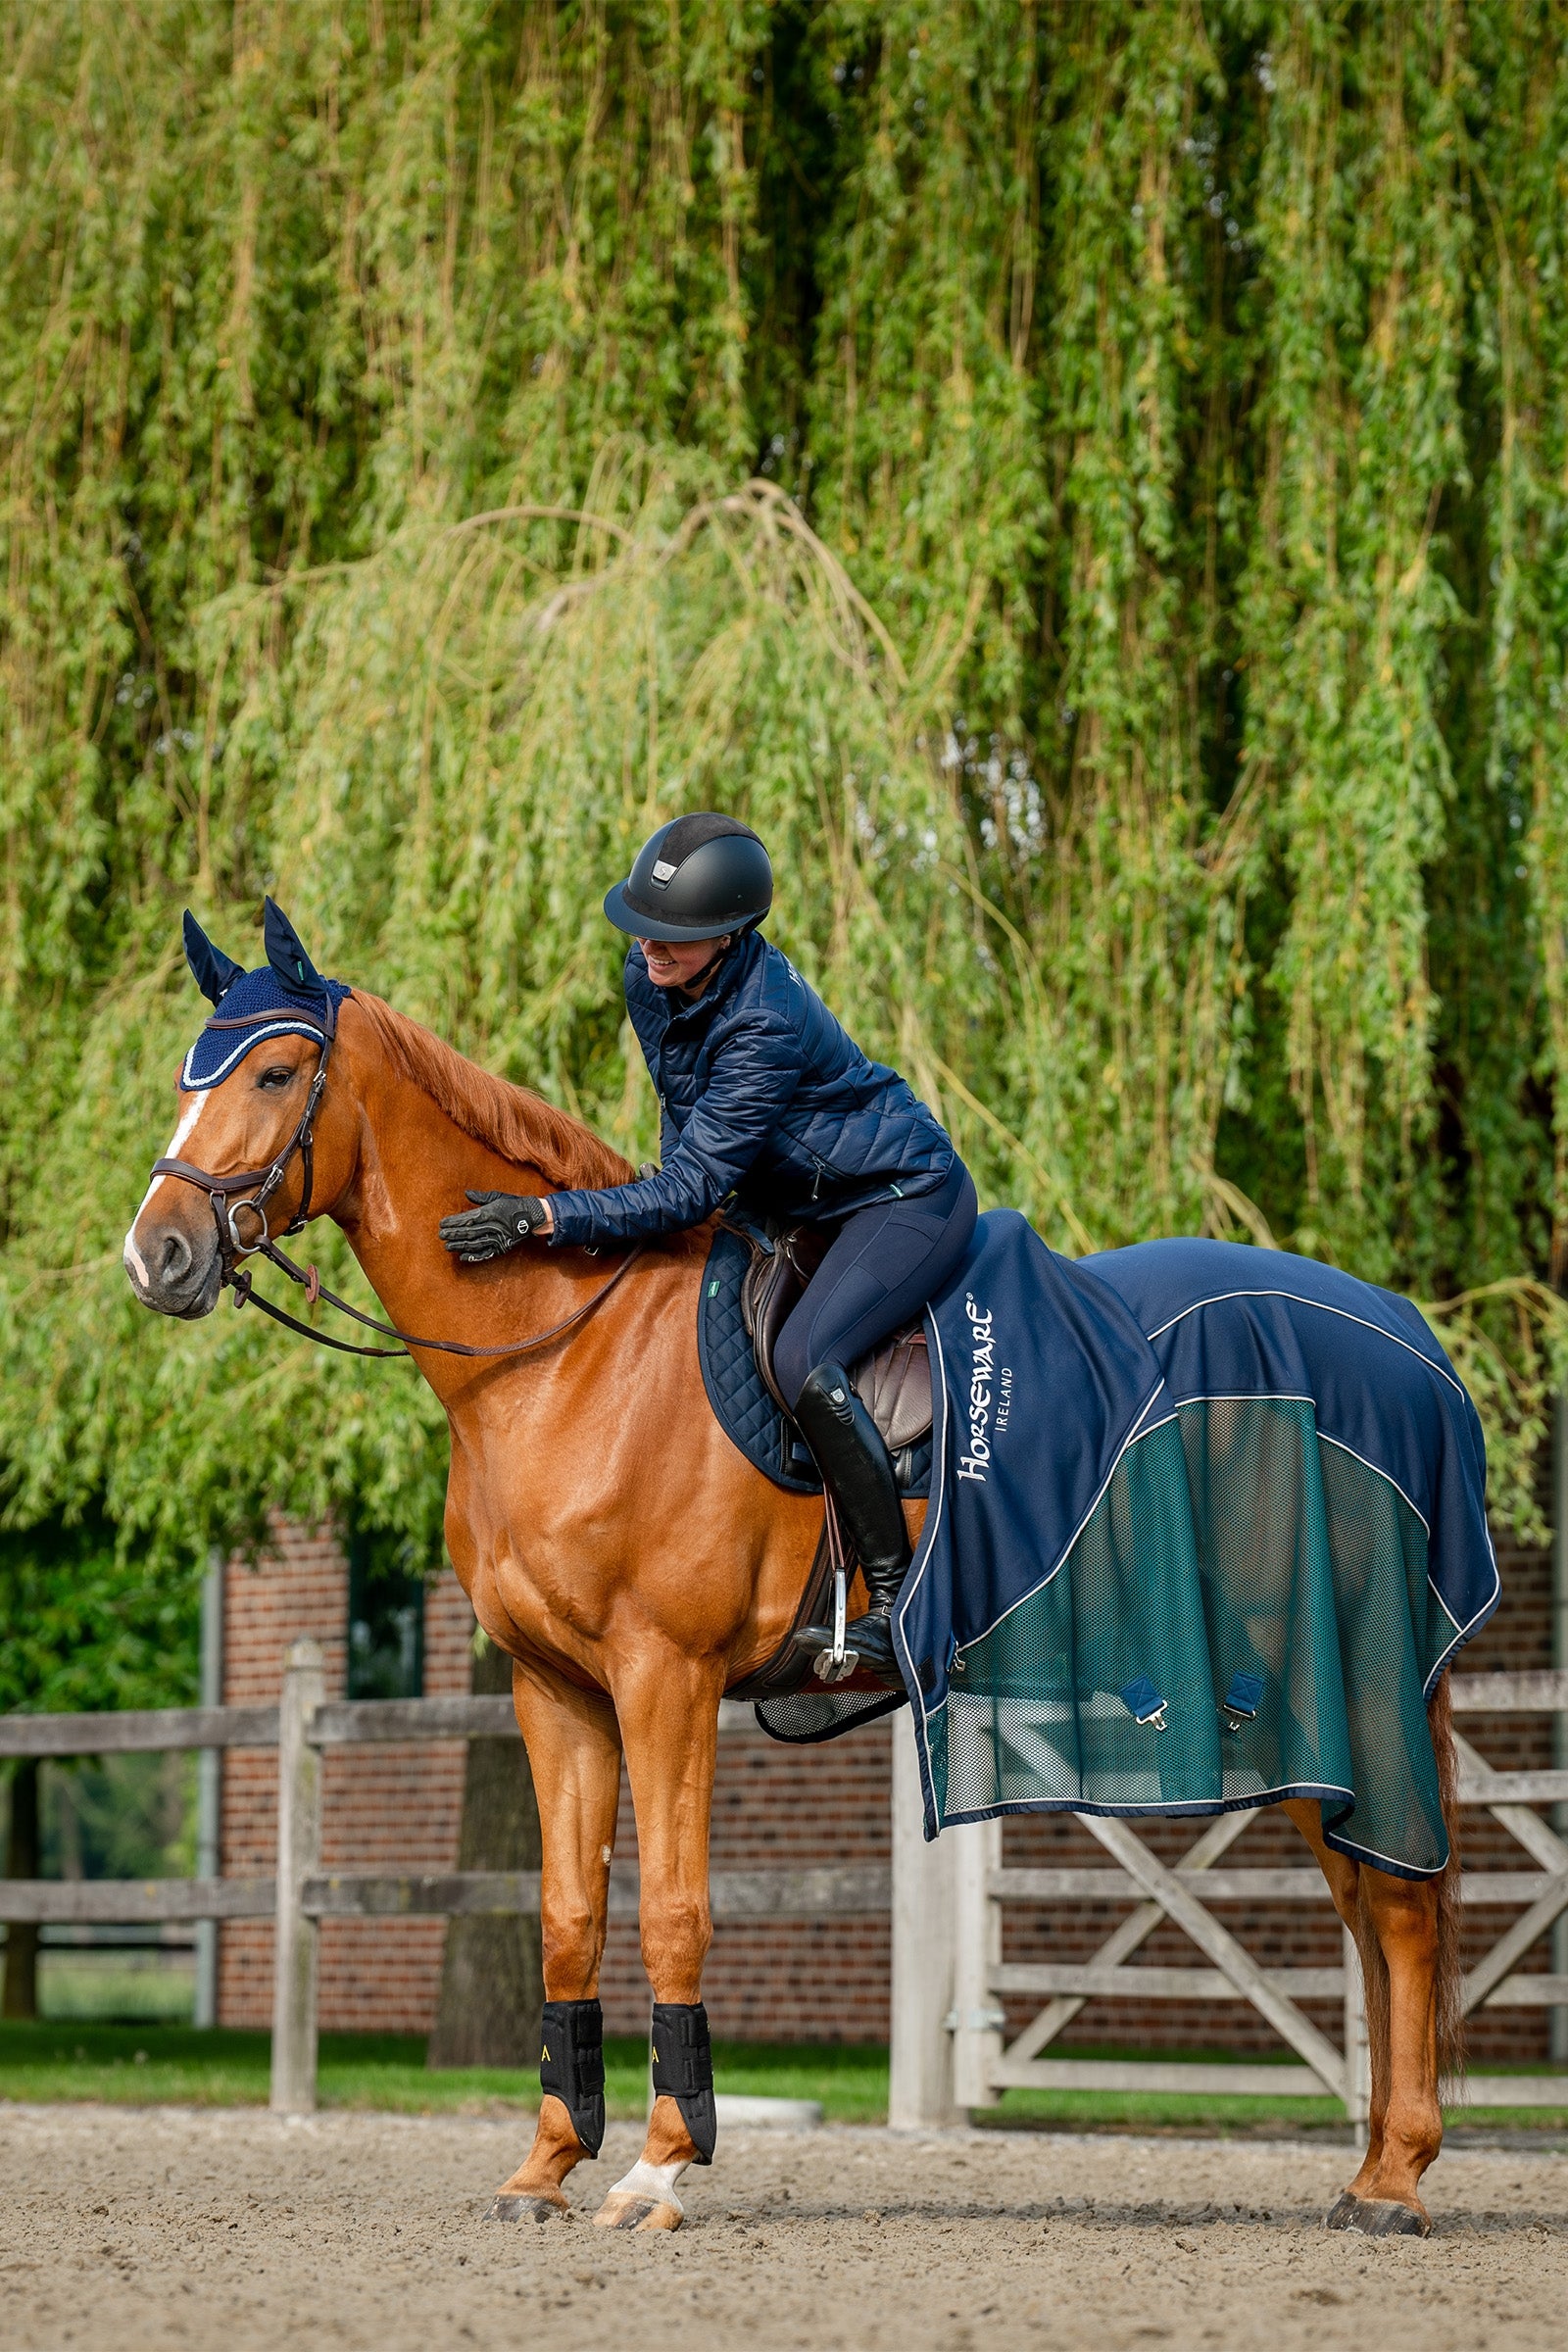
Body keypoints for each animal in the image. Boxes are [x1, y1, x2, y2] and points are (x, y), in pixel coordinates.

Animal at [122, 925, 1463, 2238]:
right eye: (190, 1072)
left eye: (273, 1074)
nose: (157, 1256)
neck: (562, 1359)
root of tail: (1403, 1340)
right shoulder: (554, 1692)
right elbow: (567, 1921)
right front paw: (546, 2164)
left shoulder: (665, 1679)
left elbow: (673, 1910)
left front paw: (660, 2167)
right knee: (1370, 1903)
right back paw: (1369, 2170)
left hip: (1335, 1683)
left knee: (1396, 1909)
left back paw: (1395, 2182)